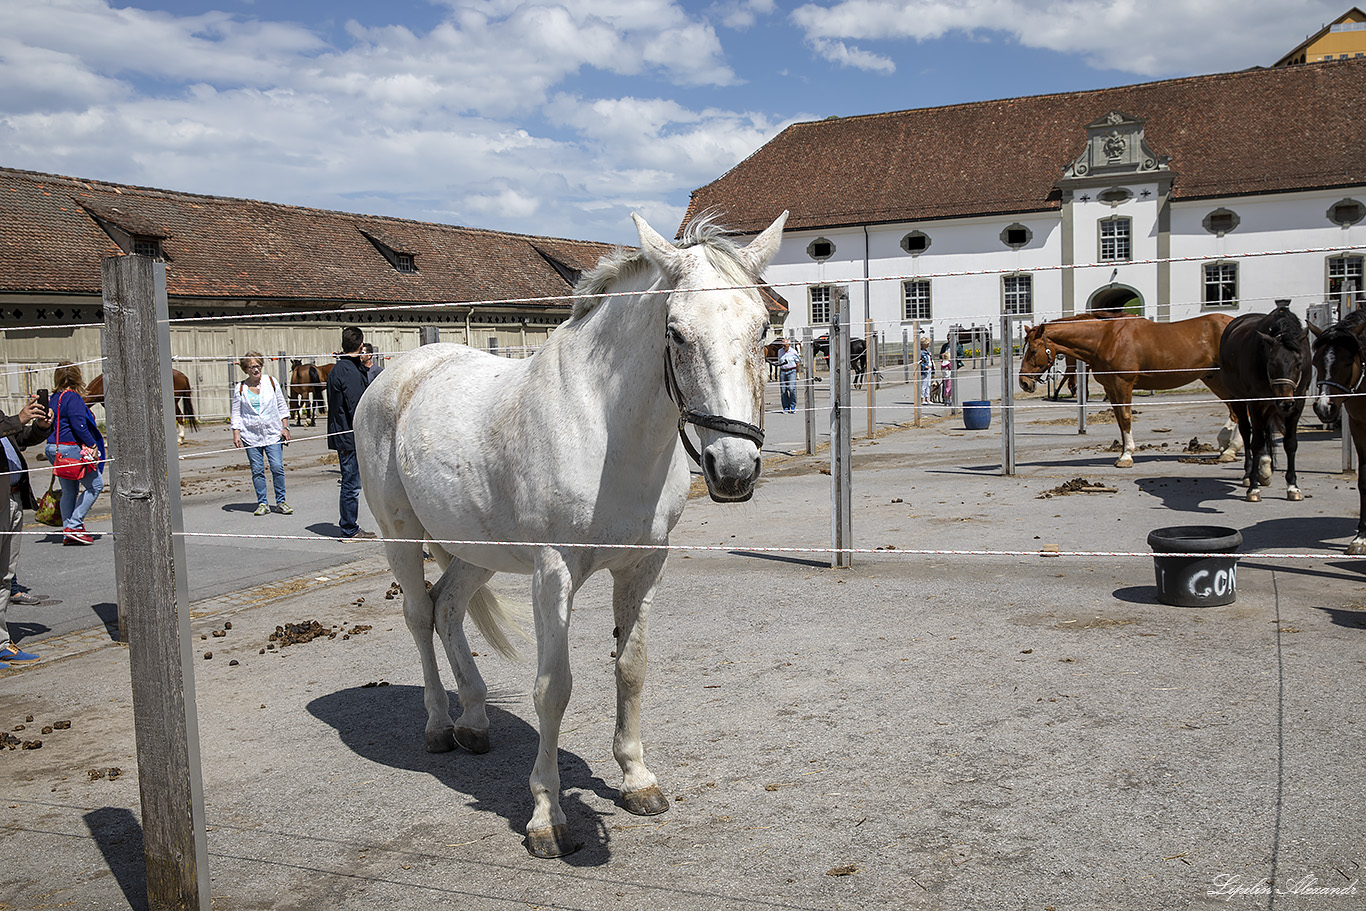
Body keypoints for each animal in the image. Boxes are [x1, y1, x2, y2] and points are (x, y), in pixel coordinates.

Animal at [355, 210, 792, 857]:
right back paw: (438, 726)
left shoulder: (643, 565)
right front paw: (546, 817)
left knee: (447, 608)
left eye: (762, 331)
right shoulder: (552, 570)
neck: (607, 431)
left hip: (477, 550)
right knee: (417, 615)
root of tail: (399, 373)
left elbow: (631, 667)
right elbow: (552, 688)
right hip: (401, 540)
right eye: (677, 333)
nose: (733, 469)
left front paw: (638, 780)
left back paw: (475, 723)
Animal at [1016, 315, 1240, 469]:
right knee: (1235, 410)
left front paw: (1126, 456)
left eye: (1033, 351)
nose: (1024, 383)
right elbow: (1119, 420)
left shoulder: (1124, 384)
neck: (1105, 339)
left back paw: (1230, 448)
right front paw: (1123, 452)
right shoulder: (1111, 388)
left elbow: (1125, 417)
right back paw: (1227, 447)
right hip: (1213, 378)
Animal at [1218, 308, 1311, 505]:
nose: (1285, 403)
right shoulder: (1256, 403)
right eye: (1272, 363)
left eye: (1298, 363)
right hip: (1239, 400)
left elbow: (1290, 443)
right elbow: (1257, 442)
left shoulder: (1298, 403)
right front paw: (1253, 488)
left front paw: (1293, 487)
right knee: (1246, 432)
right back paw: (1249, 474)